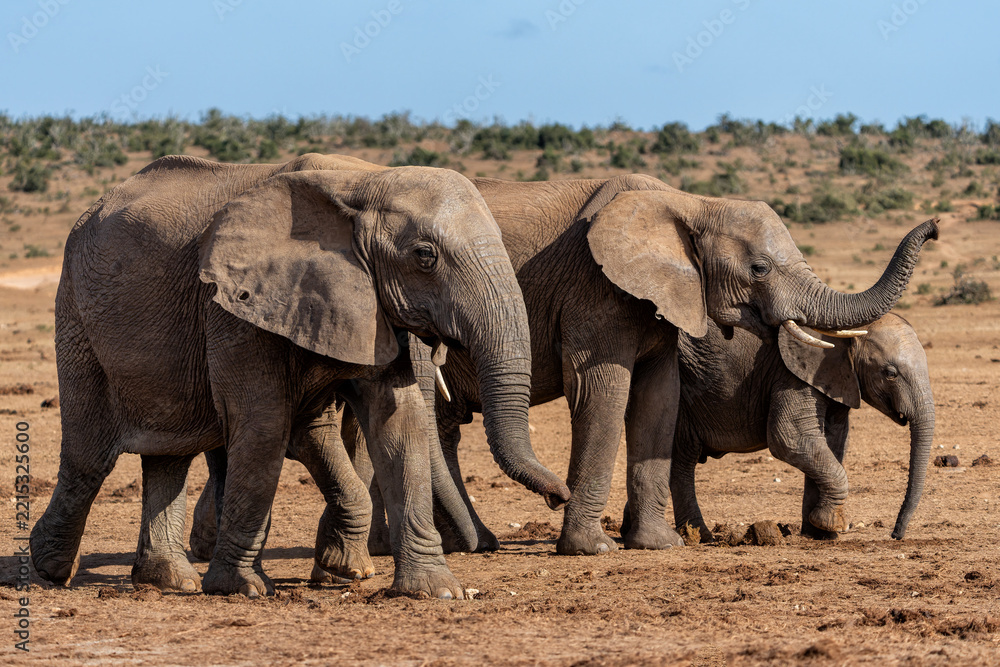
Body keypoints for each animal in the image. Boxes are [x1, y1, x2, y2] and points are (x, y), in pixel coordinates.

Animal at [29, 153, 570, 600]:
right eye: (425, 256)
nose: (557, 498)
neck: (359, 182)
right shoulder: (232, 305)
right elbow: (266, 426)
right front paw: (243, 589)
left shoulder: (367, 304)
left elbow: (396, 421)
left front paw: (431, 591)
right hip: (75, 314)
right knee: (91, 456)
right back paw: (49, 568)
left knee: (170, 452)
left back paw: (169, 581)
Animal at [667, 313, 934, 543]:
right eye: (890, 373)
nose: (895, 534)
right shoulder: (791, 374)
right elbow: (788, 438)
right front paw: (830, 524)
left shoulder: (837, 380)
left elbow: (832, 442)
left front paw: (820, 534)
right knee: (683, 461)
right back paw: (700, 537)